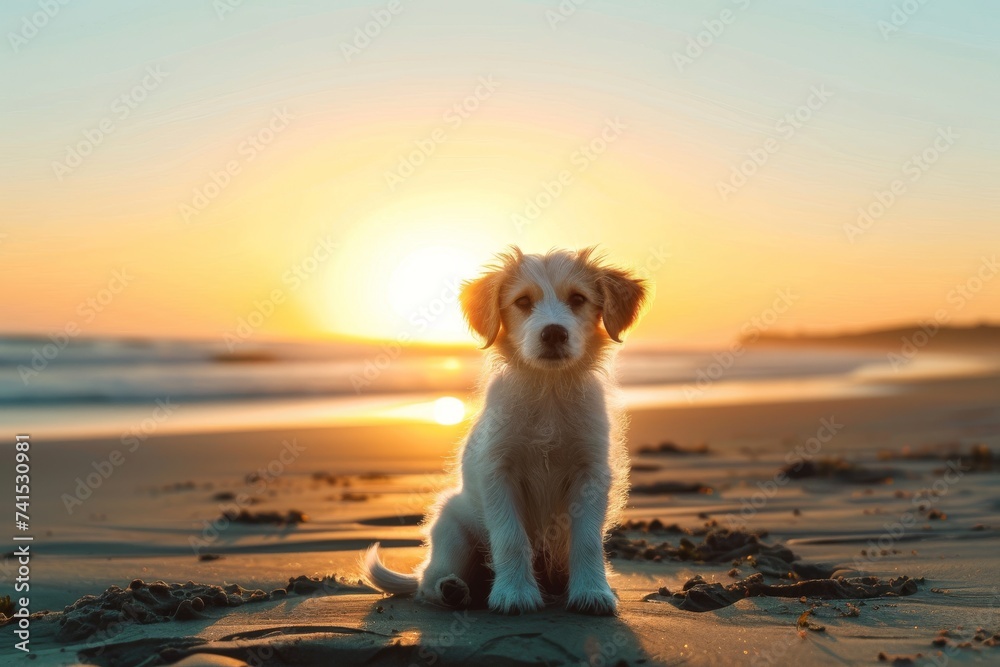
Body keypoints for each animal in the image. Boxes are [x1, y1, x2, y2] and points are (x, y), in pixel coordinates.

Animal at [364, 247, 644, 616]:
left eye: (578, 299)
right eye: (523, 301)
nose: (553, 333)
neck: (548, 390)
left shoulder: (591, 474)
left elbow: (586, 540)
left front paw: (592, 591)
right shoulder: (498, 473)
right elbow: (510, 538)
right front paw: (515, 593)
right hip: (452, 529)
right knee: (428, 581)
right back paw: (452, 589)